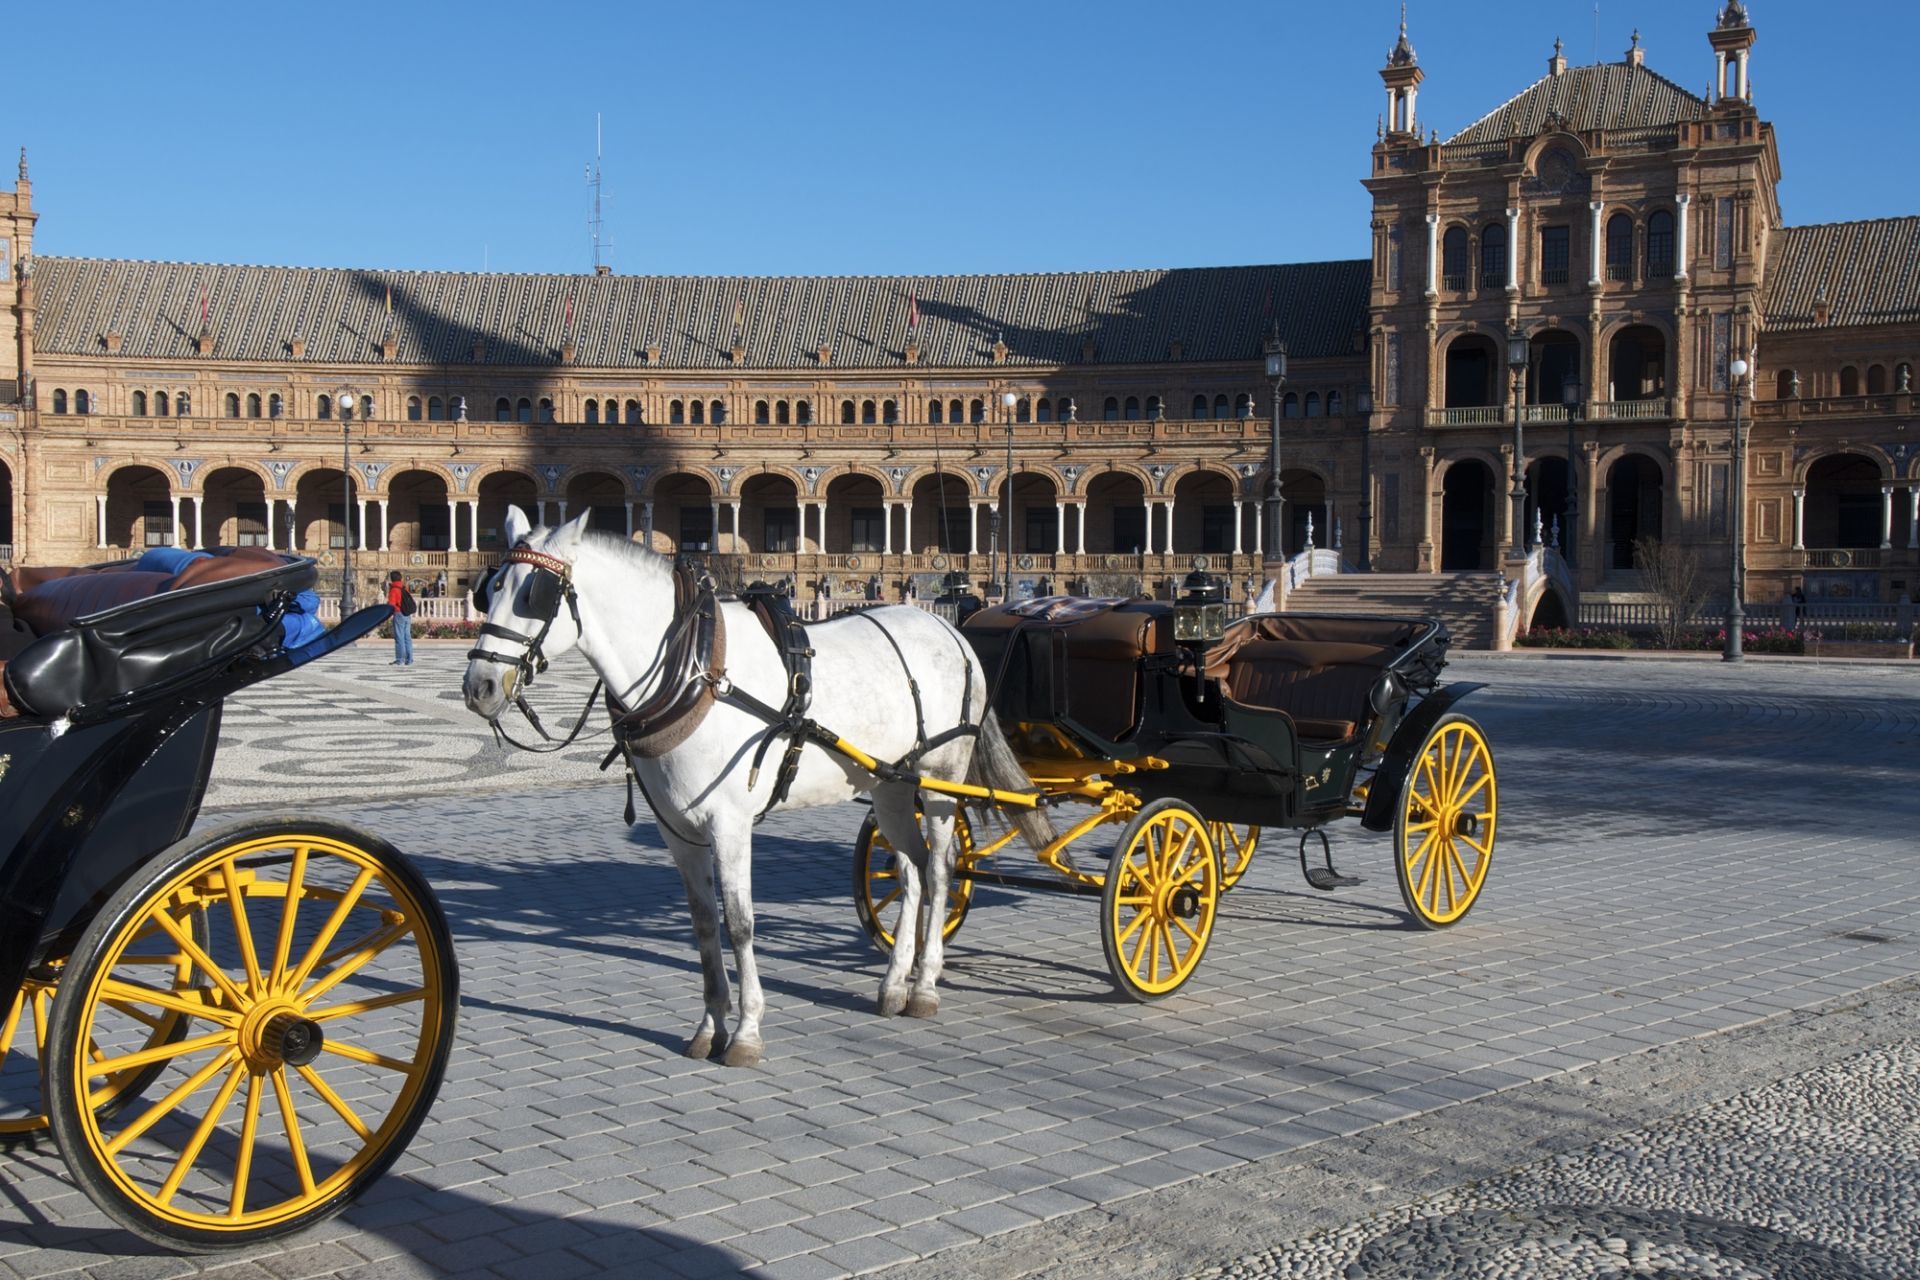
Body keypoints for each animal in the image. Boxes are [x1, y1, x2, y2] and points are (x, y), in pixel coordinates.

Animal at [462, 506, 1052, 1066]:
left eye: (535, 595)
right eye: (490, 588)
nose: (479, 686)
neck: (694, 669)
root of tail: (951, 630)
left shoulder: (730, 824)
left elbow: (742, 923)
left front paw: (746, 1032)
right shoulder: (676, 829)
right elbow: (704, 923)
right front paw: (709, 1027)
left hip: (939, 780)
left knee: (940, 869)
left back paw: (925, 983)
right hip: (888, 783)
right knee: (908, 872)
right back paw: (892, 984)